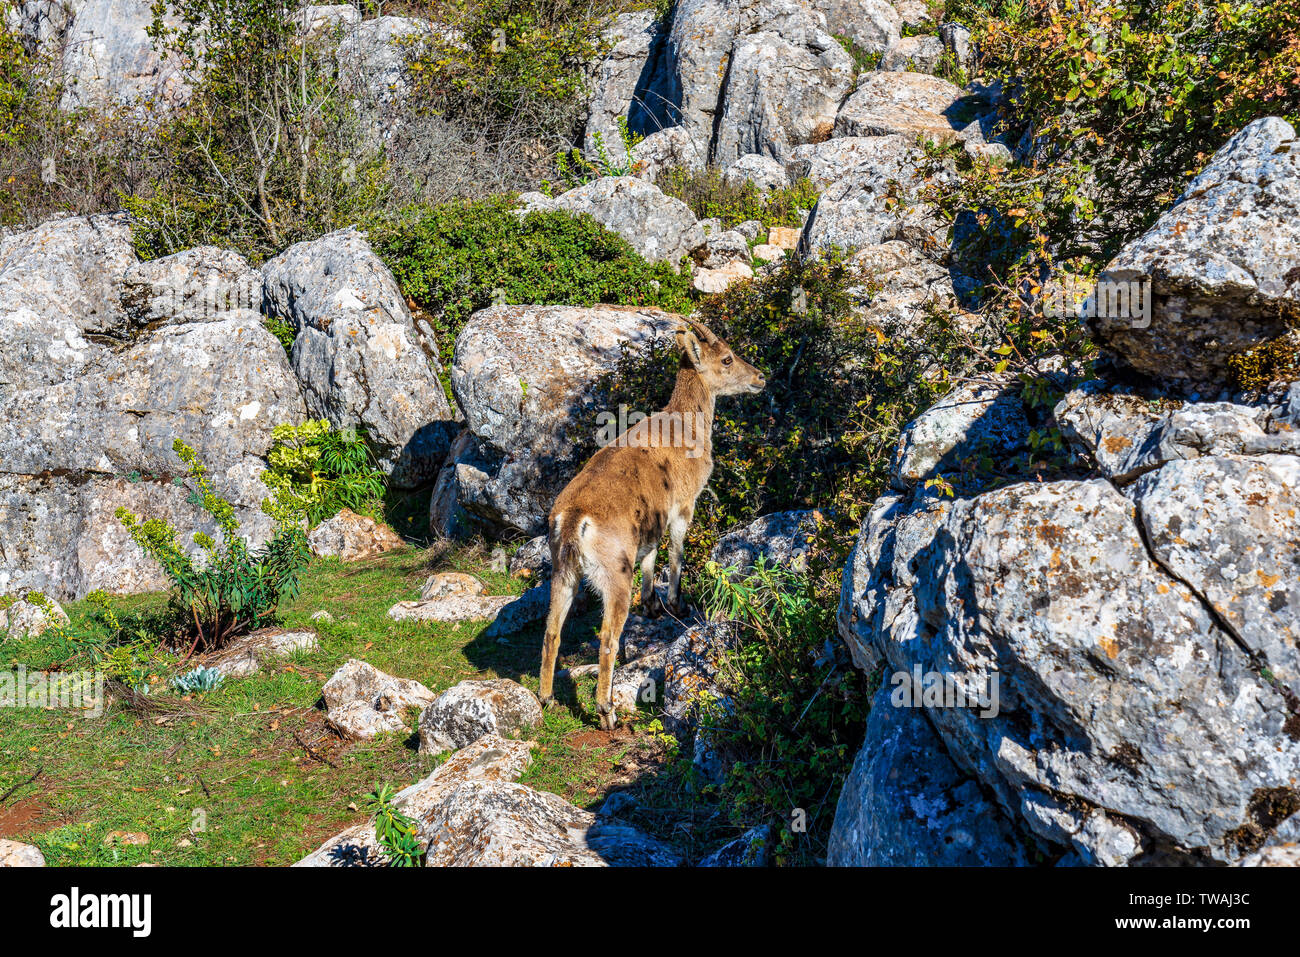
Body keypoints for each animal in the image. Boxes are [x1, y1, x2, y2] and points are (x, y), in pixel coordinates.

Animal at [539, 318, 766, 730]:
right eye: (727, 358)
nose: (760, 377)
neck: (687, 425)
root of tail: (575, 519)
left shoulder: (652, 524)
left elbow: (651, 554)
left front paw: (652, 605)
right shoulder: (684, 504)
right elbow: (676, 551)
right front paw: (675, 603)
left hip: (563, 569)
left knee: (552, 629)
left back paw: (546, 698)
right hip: (613, 572)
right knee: (608, 637)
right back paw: (606, 712)